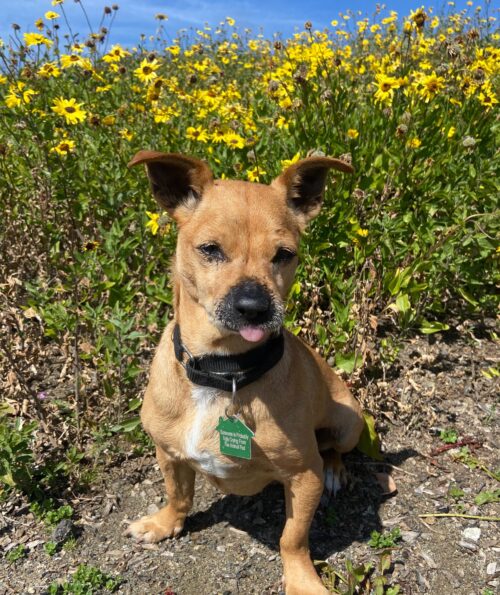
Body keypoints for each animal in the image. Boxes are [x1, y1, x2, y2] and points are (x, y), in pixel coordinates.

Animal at [125, 150, 364, 595]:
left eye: (284, 254)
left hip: (349, 421)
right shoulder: (168, 453)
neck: (223, 372)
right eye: (210, 249)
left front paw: (302, 580)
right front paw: (165, 523)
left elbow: (292, 537)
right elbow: (178, 495)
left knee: (333, 448)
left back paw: (336, 470)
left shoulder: (303, 478)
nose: (254, 307)